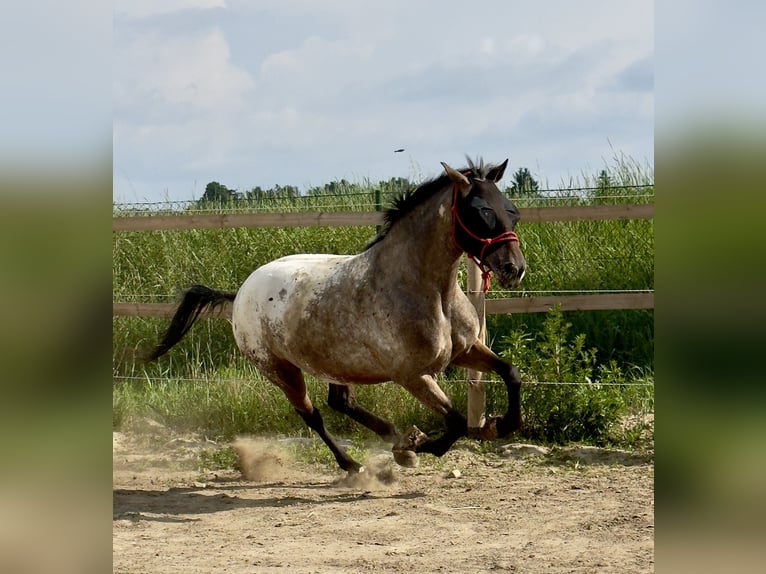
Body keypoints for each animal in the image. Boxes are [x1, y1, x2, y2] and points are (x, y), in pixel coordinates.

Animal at [148, 160, 528, 474]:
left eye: (511, 210)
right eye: (481, 211)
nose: (514, 269)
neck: (430, 293)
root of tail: (240, 291)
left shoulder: (465, 350)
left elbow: (510, 373)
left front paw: (500, 425)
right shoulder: (412, 375)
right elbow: (456, 422)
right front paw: (416, 447)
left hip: (338, 364)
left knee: (340, 403)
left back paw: (394, 438)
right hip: (280, 370)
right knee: (312, 415)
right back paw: (354, 463)